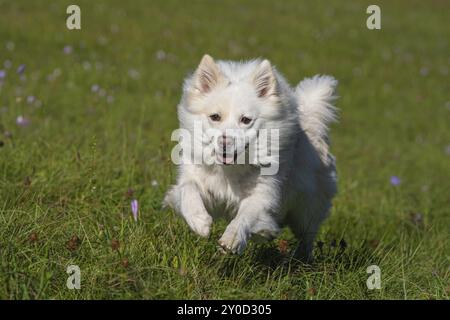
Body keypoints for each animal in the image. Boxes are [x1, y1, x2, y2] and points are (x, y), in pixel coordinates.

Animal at [164, 55, 338, 262]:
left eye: (246, 120)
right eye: (215, 117)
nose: (225, 142)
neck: (230, 170)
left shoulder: (261, 195)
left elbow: (244, 217)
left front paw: (231, 240)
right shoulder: (196, 182)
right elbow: (188, 190)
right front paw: (200, 221)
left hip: (305, 212)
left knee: (307, 237)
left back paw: (300, 258)